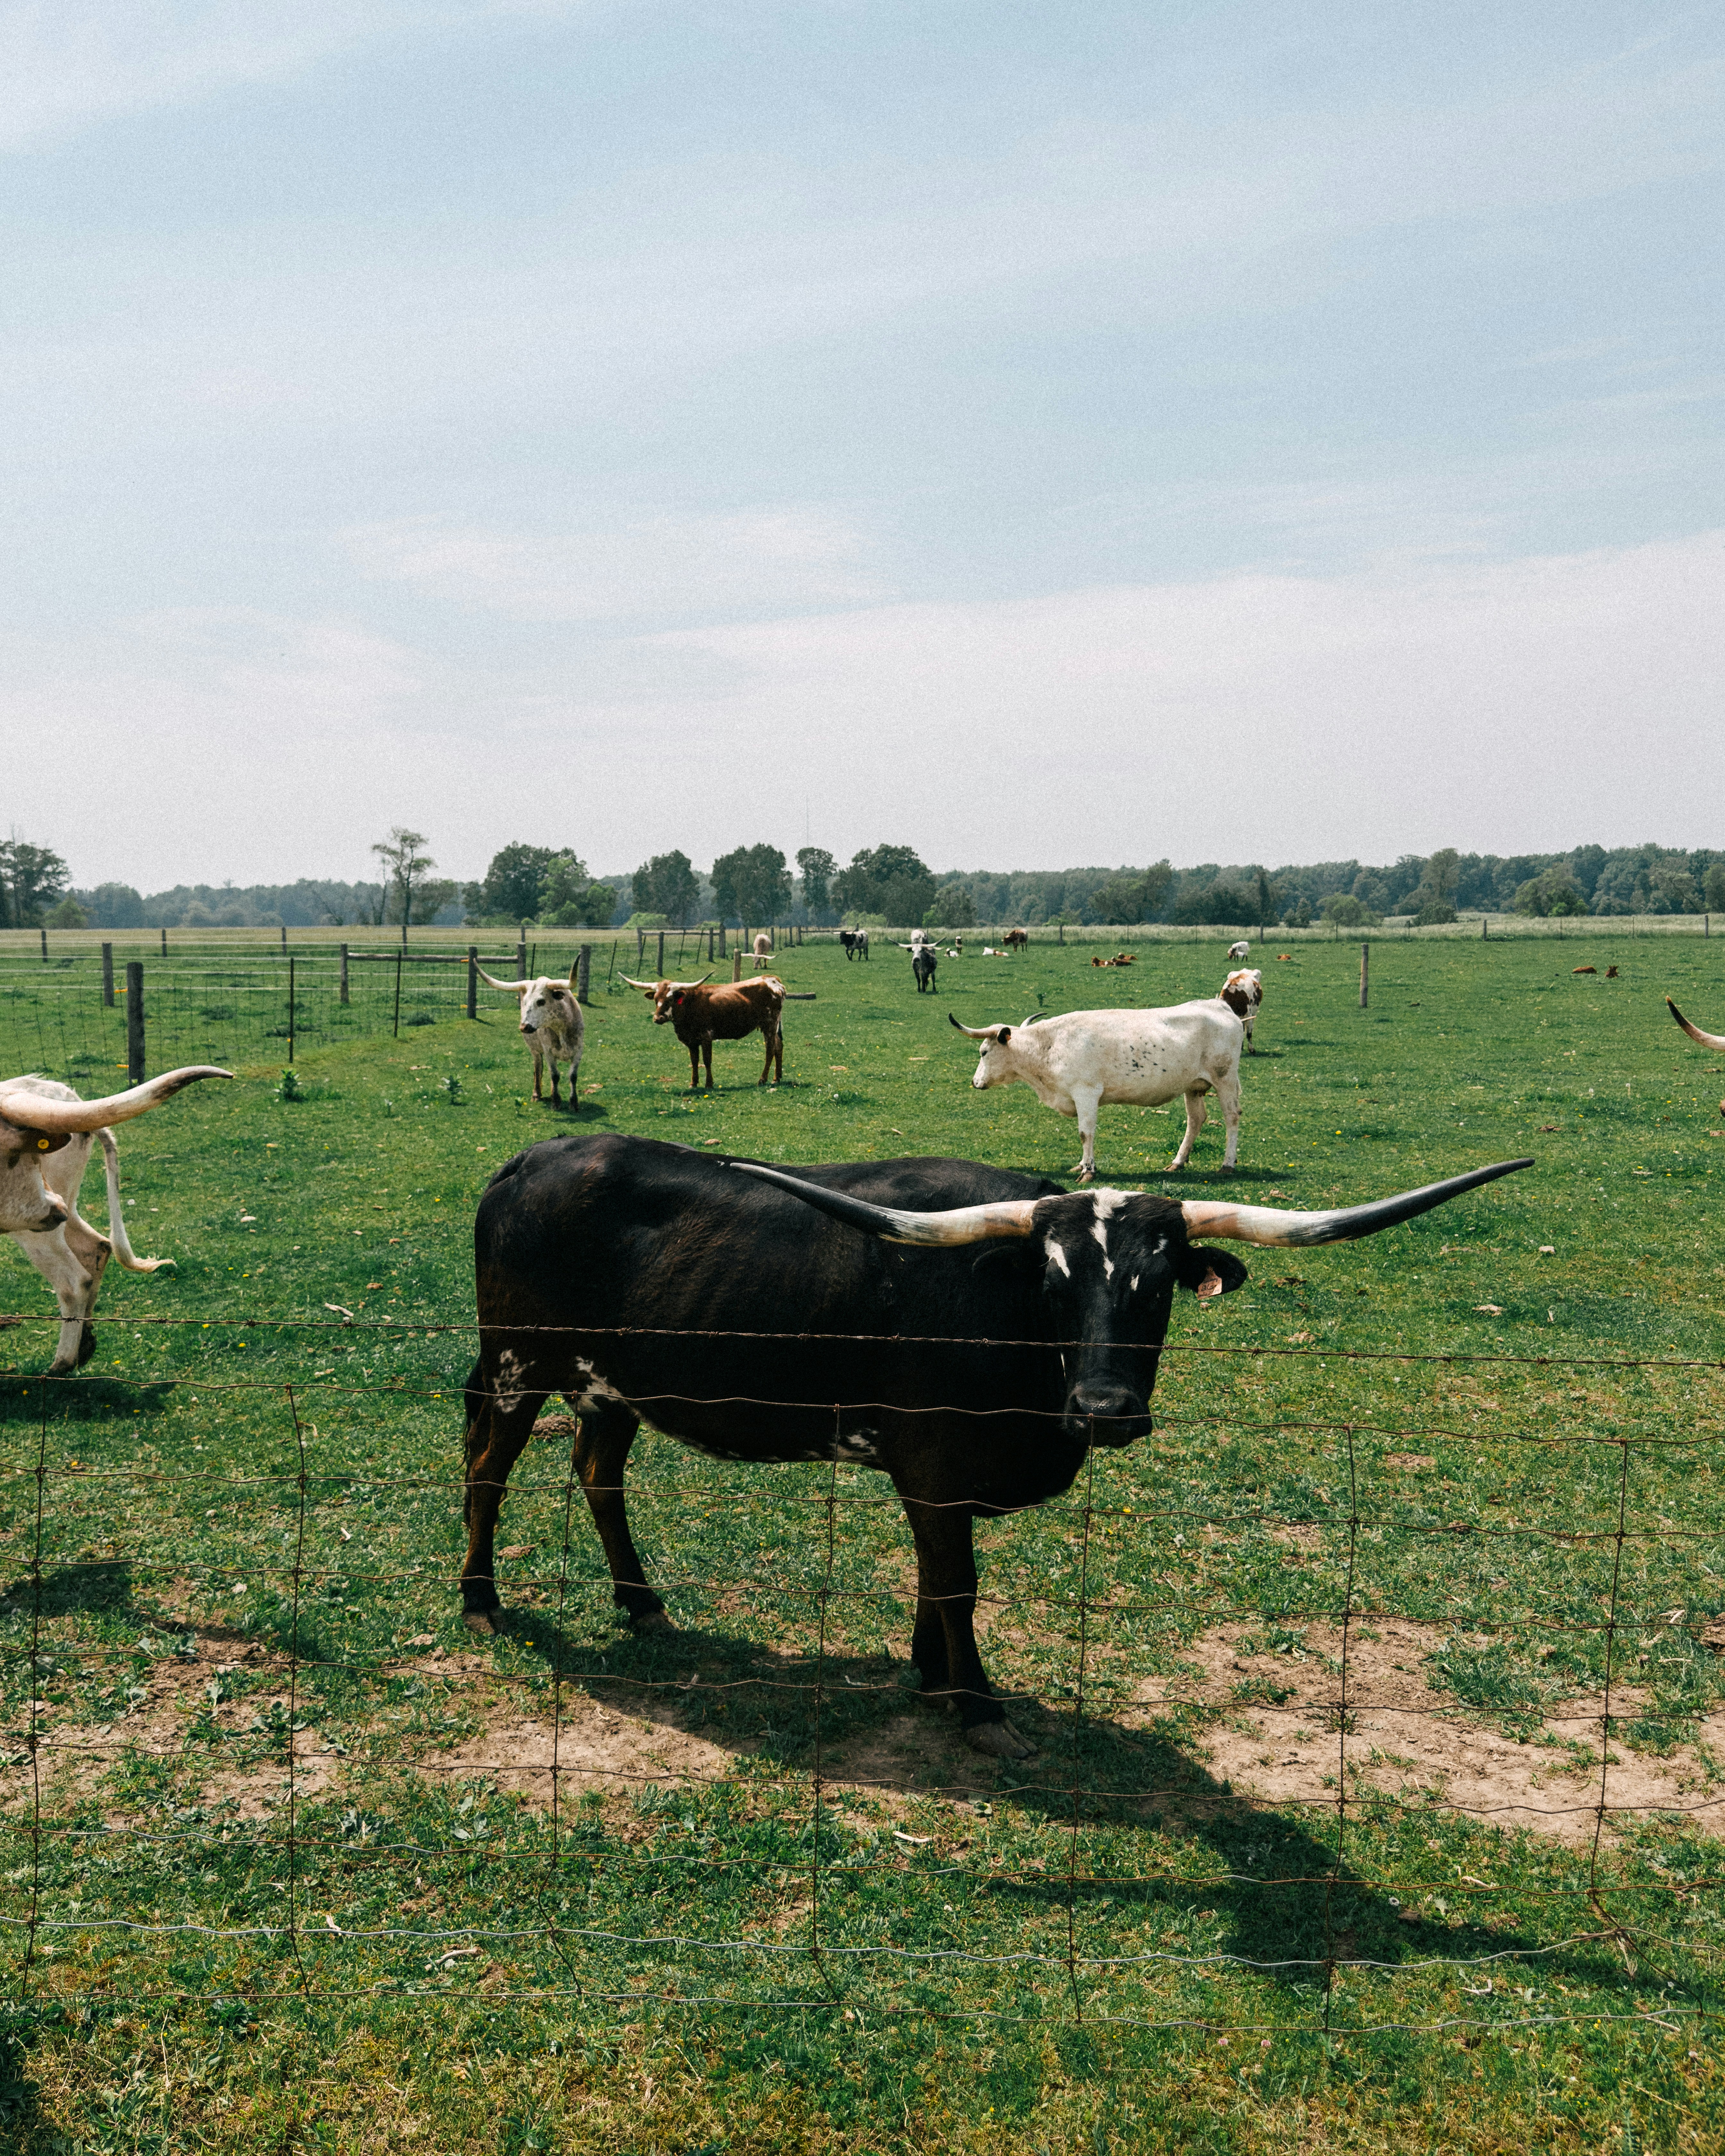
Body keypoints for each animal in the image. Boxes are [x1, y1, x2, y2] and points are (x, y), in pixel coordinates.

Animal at [1, 1067, 230, 1375]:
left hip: (38, 1224)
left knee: (74, 1281)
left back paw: (61, 1364)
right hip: (63, 1208)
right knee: (97, 1246)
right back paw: (84, 1344)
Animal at [456, 1134, 1529, 1757]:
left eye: (1158, 1286)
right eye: (1052, 1282)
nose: (1105, 1406)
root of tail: (534, 1154)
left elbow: (936, 1580)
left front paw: (931, 1672)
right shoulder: (933, 1465)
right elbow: (957, 1580)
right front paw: (973, 1700)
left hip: (612, 1383)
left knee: (596, 1473)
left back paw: (641, 1603)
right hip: (516, 1358)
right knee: (487, 1466)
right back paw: (479, 1599)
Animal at [477, 965, 586, 1105]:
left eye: (541, 1002)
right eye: (525, 1002)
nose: (524, 1027)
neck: (561, 1027)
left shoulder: (579, 1051)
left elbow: (573, 1076)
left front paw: (574, 1102)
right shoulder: (548, 1051)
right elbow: (555, 1075)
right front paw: (556, 1102)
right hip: (535, 1050)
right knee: (538, 1067)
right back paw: (537, 1094)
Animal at [621, 972, 793, 1089]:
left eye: (670, 999)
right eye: (656, 999)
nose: (658, 1018)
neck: (689, 1005)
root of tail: (773, 980)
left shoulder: (707, 1037)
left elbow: (707, 1060)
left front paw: (709, 1084)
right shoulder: (691, 1041)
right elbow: (694, 1061)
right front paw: (694, 1083)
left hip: (769, 1025)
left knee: (770, 1050)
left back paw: (762, 1080)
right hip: (775, 1026)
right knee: (779, 1047)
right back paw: (777, 1078)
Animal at [951, 999, 1244, 1181]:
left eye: (984, 1052)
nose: (975, 1082)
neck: (1049, 1046)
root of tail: (1220, 1006)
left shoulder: (1086, 1093)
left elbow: (1085, 1133)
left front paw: (1088, 1171)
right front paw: (1080, 1166)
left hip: (1225, 1079)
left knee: (1231, 1117)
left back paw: (1227, 1164)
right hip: (1193, 1086)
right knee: (1195, 1120)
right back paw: (1178, 1162)